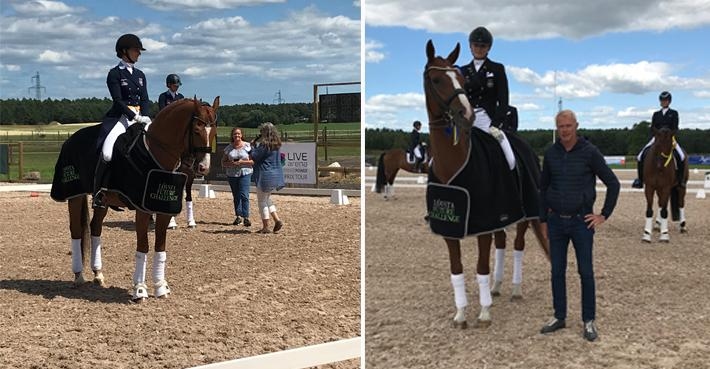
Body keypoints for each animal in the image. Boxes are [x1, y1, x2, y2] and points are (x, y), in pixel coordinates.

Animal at [51, 96, 218, 300]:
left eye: (214, 131)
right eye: (196, 130)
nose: (203, 167)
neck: (155, 152)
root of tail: (70, 140)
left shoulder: (163, 208)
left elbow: (160, 246)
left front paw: (161, 286)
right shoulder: (142, 209)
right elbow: (143, 246)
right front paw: (140, 289)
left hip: (102, 201)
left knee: (95, 228)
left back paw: (98, 274)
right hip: (74, 195)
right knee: (75, 231)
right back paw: (78, 276)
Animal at [422, 41, 552, 328]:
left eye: (460, 79)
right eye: (436, 79)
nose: (466, 114)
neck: (453, 164)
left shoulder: (482, 223)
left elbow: (481, 267)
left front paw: (483, 312)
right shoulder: (451, 226)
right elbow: (456, 270)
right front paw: (461, 314)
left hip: (524, 213)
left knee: (517, 246)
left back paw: (514, 289)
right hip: (501, 215)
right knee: (501, 242)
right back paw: (496, 287)